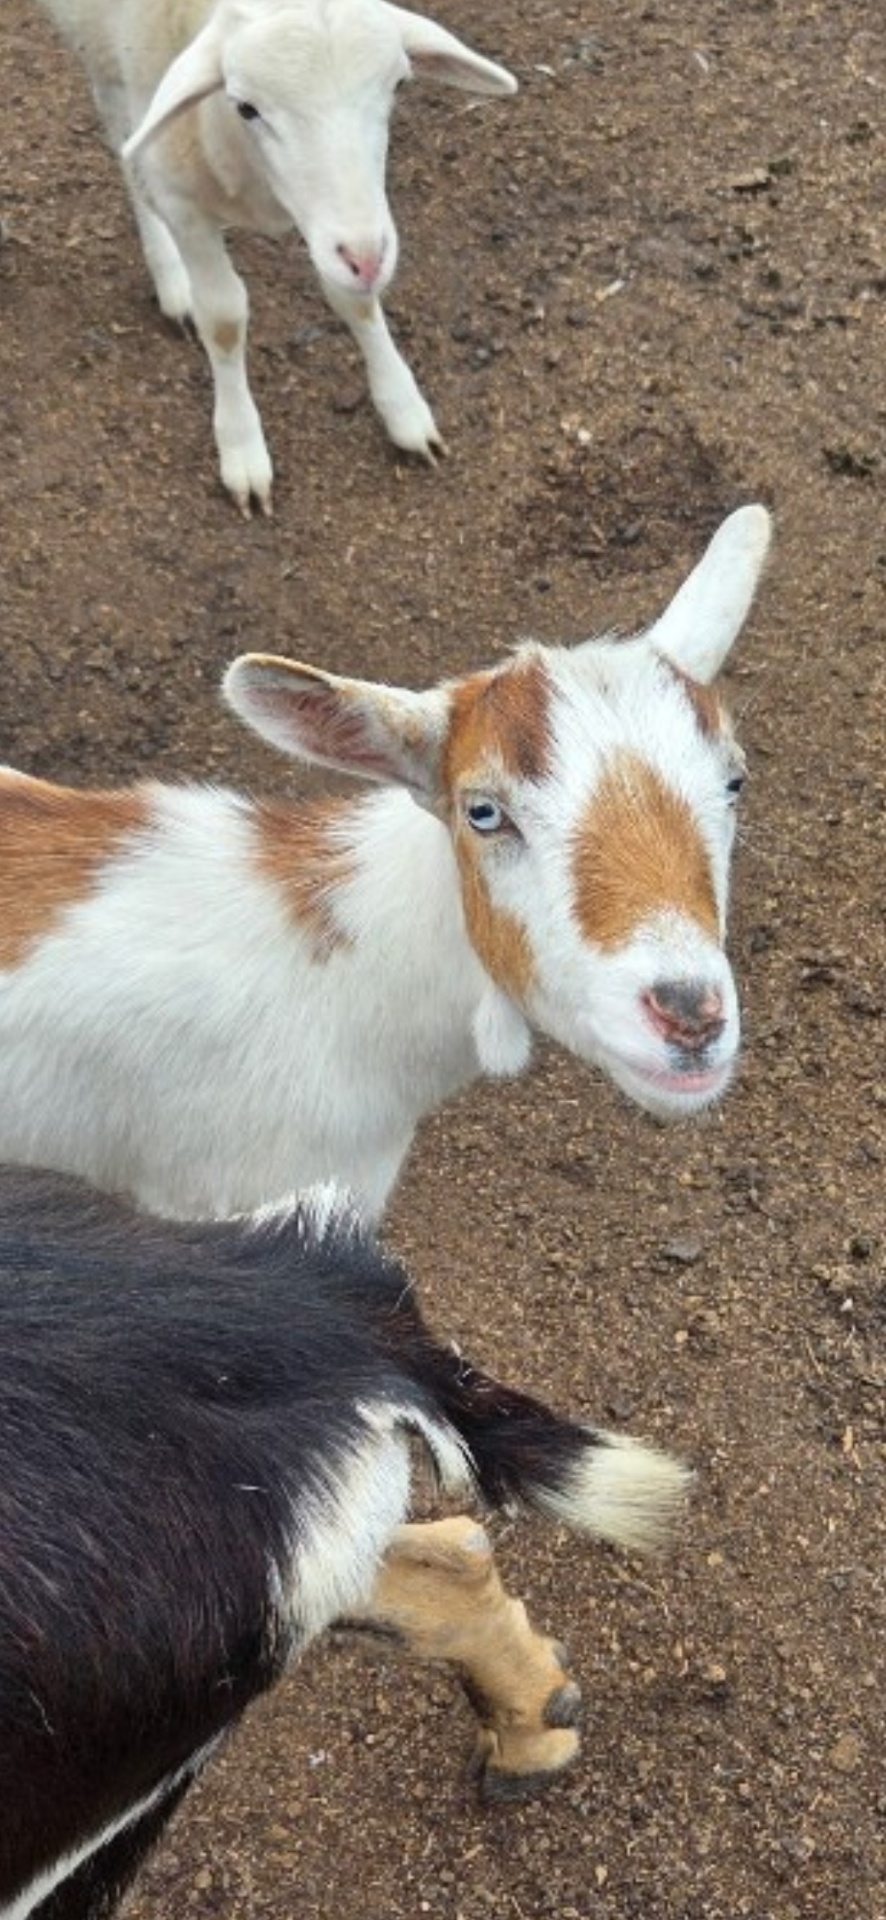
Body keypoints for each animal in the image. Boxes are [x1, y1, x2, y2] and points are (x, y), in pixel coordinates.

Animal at [37, 0, 517, 514]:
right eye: (246, 107)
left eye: (400, 85)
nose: (368, 262)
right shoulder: (182, 202)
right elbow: (223, 320)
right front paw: (242, 448)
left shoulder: (336, 226)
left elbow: (354, 301)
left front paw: (403, 408)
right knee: (121, 134)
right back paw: (170, 277)